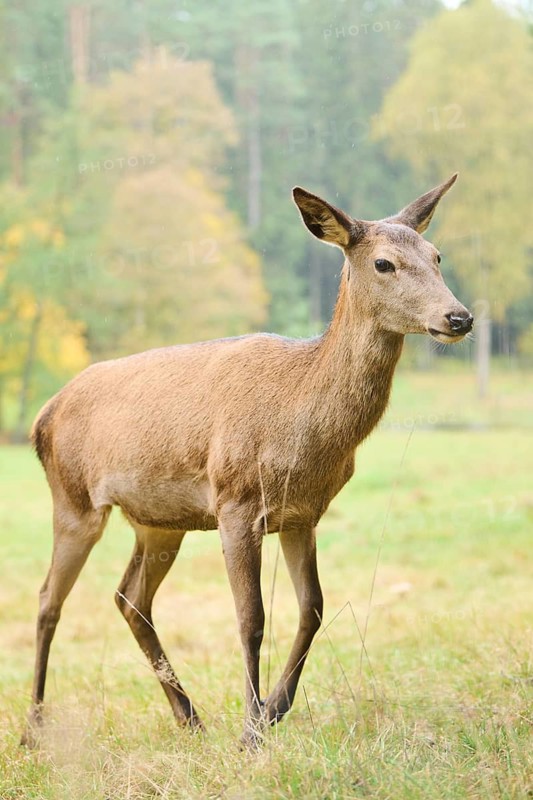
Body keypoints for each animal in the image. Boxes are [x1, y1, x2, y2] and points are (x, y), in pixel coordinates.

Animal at [22, 173, 473, 749]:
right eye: (383, 263)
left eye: (437, 256)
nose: (459, 317)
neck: (301, 425)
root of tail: (42, 416)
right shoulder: (236, 501)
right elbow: (251, 617)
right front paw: (251, 731)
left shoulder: (302, 513)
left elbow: (312, 608)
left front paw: (274, 709)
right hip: (74, 499)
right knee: (47, 600)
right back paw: (34, 727)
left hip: (158, 521)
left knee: (129, 598)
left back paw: (188, 715)